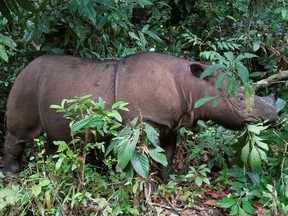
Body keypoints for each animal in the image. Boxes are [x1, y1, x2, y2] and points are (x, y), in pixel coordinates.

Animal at [1, 52, 276, 177]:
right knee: (19, 134)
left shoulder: (170, 122)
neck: (192, 86)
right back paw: (12, 175)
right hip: (26, 83)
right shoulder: (145, 121)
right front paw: (132, 182)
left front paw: (165, 182)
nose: (273, 117)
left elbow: (167, 154)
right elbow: (135, 157)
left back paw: (52, 172)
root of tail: (24, 68)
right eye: (239, 99)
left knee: (56, 139)